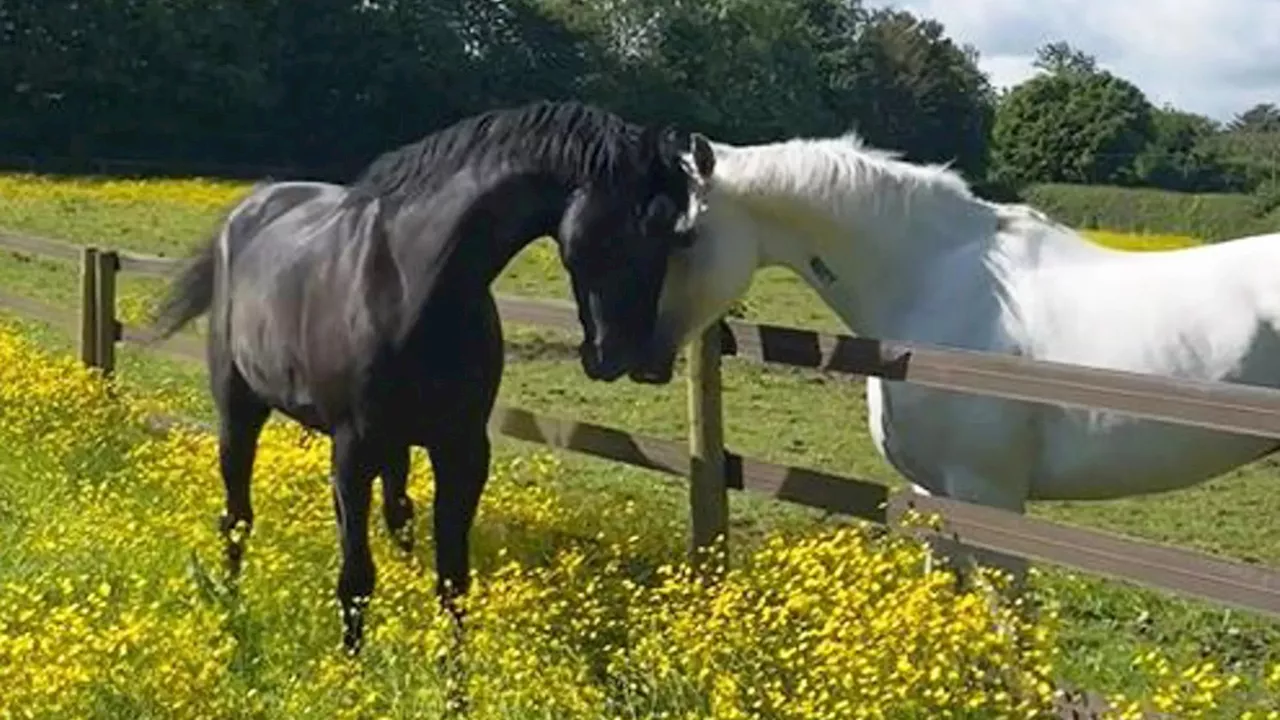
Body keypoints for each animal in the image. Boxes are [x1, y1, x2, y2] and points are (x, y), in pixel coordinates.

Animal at [147, 99, 721, 650]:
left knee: (396, 514)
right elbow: (356, 579)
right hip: (240, 411)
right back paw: (230, 603)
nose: (630, 357)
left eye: (677, 236)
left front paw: (452, 675)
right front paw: (353, 668)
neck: (410, 285)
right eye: (625, 228)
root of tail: (247, 211)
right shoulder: (352, 451)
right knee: (237, 518)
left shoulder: (462, 450)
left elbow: (452, 581)